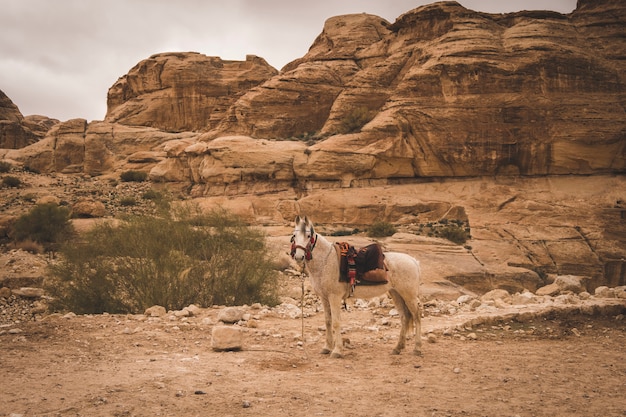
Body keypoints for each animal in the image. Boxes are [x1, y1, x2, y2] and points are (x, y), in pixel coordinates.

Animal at [290, 216, 422, 356]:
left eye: (308, 236)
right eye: (294, 235)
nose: (299, 257)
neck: (325, 262)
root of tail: (414, 261)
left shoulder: (334, 297)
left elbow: (336, 322)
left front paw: (337, 350)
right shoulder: (324, 298)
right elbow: (328, 321)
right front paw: (327, 347)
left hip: (409, 296)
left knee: (417, 316)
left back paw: (417, 348)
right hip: (396, 294)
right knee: (404, 317)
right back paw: (398, 348)